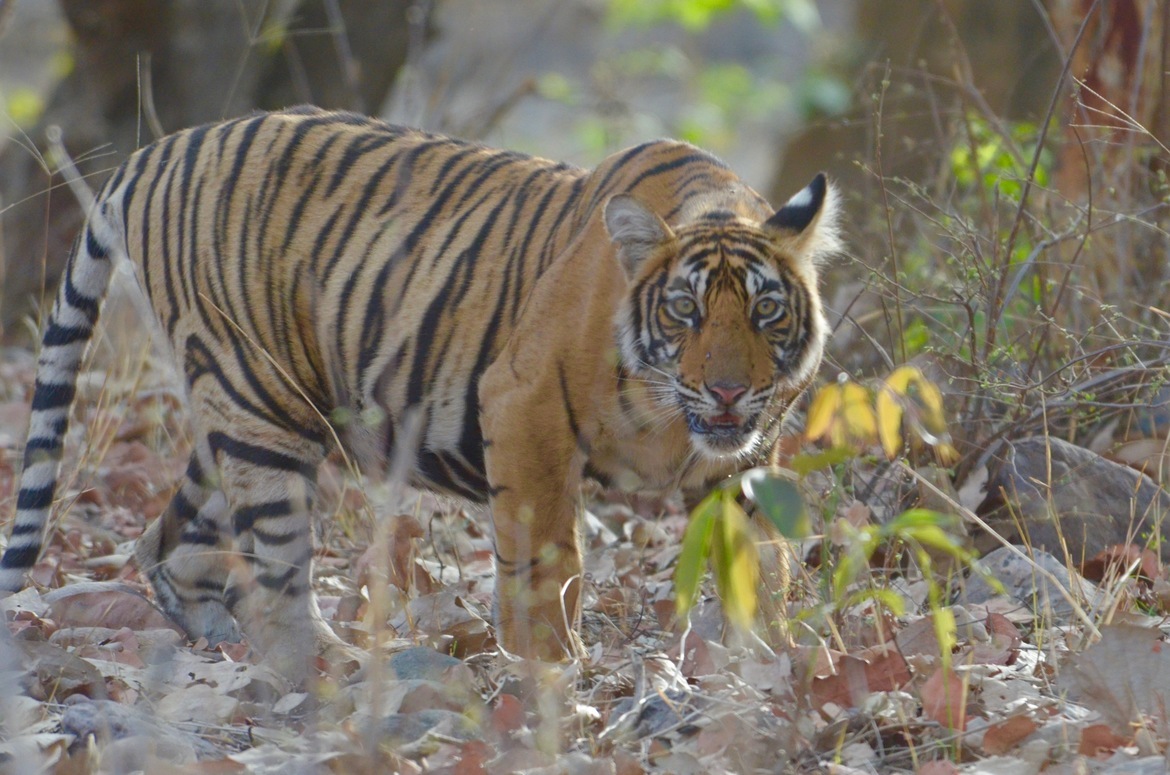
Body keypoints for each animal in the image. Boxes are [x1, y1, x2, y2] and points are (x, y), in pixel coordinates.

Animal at [0, 106, 838, 680]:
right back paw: (327, 667)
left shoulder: (740, 462)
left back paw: (222, 632)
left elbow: (762, 562)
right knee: (274, 579)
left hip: (238, 414)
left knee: (167, 543)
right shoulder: (524, 402)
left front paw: (768, 661)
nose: (728, 391)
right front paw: (550, 671)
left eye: (766, 311)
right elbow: (546, 553)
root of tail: (161, 148)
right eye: (684, 310)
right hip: (257, 402)